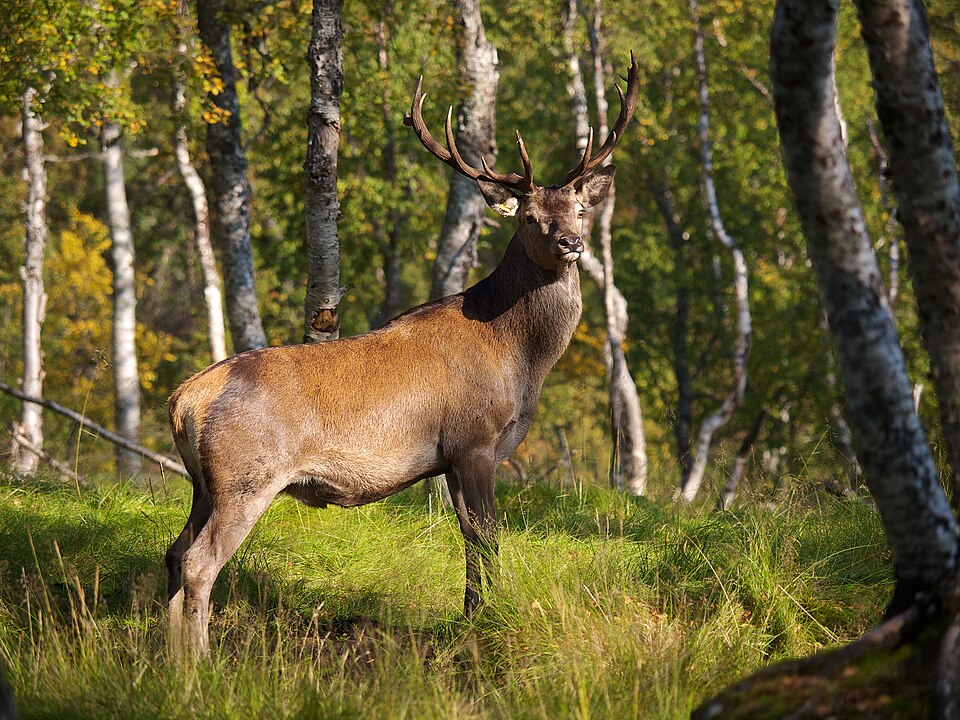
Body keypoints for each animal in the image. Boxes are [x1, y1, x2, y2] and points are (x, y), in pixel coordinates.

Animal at [165, 55, 639, 654]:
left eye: (578, 209)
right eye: (529, 216)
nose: (571, 243)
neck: (521, 359)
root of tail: (185, 401)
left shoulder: (451, 459)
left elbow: (470, 539)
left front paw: (470, 617)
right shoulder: (474, 441)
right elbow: (488, 538)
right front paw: (488, 620)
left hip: (201, 484)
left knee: (174, 553)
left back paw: (167, 654)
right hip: (243, 477)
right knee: (200, 562)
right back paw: (199, 661)